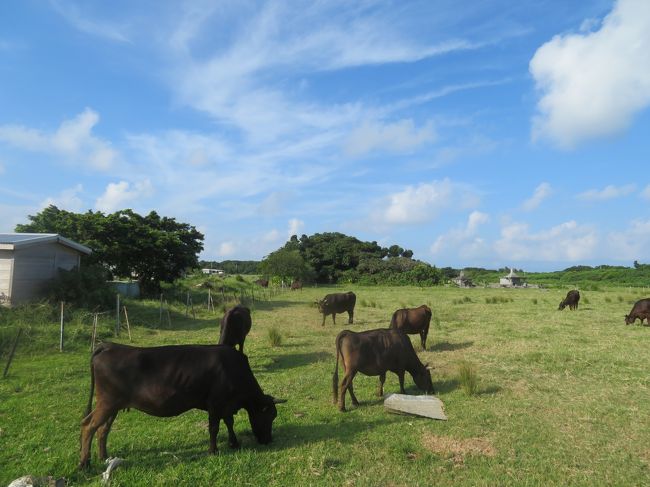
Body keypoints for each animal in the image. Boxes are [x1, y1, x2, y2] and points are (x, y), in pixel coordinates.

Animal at [79, 342, 284, 470]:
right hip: (107, 403)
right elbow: (214, 427)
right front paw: (213, 451)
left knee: (102, 429)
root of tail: (109, 346)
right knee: (88, 426)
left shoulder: (226, 404)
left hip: (113, 406)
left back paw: (103, 457)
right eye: (269, 416)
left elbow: (229, 422)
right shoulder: (216, 402)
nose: (268, 440)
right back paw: (84, 464)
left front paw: (234, 443)